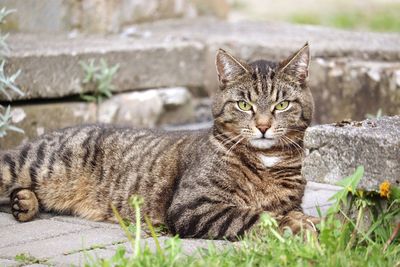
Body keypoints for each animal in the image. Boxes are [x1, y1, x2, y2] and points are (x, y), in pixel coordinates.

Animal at [0, 43, 318, 241]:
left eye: (281, 105)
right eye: (243, 105)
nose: (263, 126)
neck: (266, 161)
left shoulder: (292, 201)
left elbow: (282, 210)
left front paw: (299, 220)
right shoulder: (192, 206)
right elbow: (259, 216)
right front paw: (298, 225)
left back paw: (24, 203)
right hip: (26, 166)